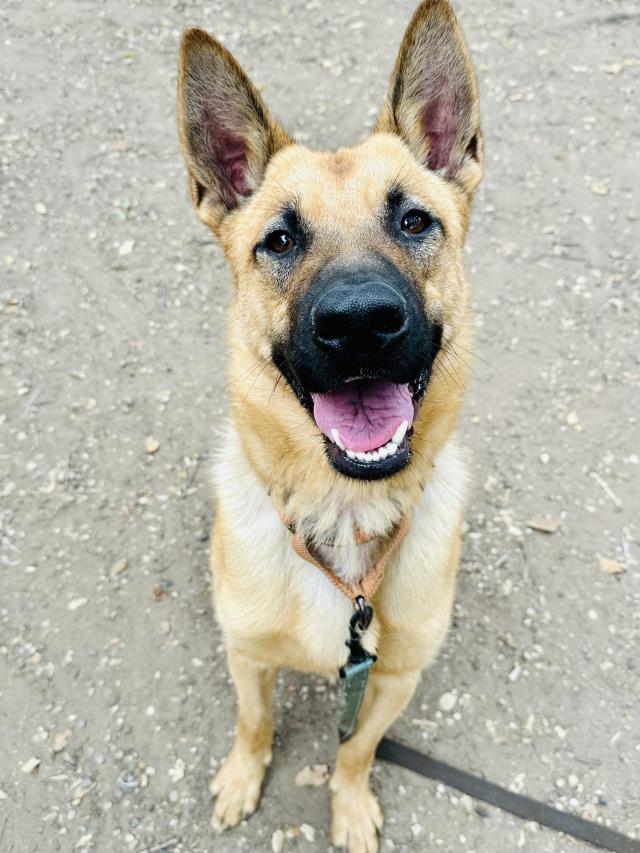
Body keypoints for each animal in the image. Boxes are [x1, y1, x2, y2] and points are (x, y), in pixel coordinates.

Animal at [178, 3, 482, 848]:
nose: (360, 325)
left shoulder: (393, 678)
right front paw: (242, 778)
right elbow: (253, 723)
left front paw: (347, 805)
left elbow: (356, 750)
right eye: (280, 240)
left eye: (413, 220)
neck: (344, 513)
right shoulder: (247, 655)